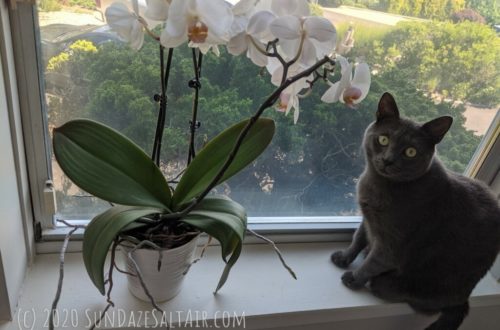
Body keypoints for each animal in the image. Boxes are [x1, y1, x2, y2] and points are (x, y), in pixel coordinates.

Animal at [332, 91, 500, 328]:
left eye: (410, 152)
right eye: (383, 139)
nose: (388, 160)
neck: (378, 186)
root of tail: (464, 300)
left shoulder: (393, 243)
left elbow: (374, 262)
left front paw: (354, 278)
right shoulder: (367, 218)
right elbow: (358, 237)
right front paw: (345, 257)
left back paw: (380, 284)